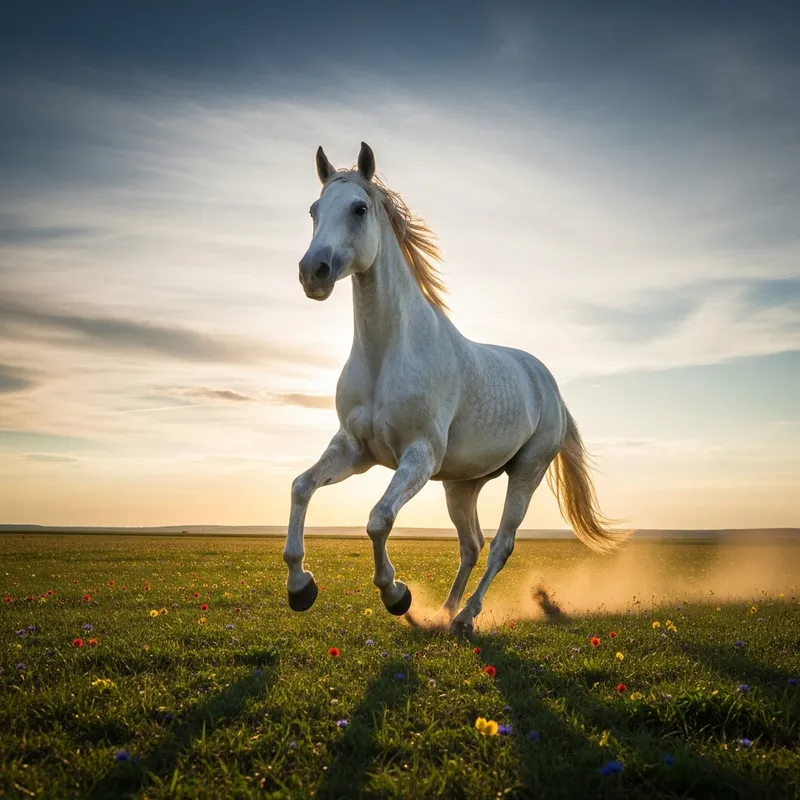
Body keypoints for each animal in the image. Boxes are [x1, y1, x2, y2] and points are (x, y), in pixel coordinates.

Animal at [282, 142, 629, 636]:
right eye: (314, 210)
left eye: (359, 208)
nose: (314, 272)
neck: (387, 353)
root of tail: (548, 385)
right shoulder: (354, 450)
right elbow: (301, 487)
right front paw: (300, 587)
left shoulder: (419, 456)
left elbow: (378, 519)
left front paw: (396, 594)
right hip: (461, 486)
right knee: (471, 544)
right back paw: (445, 613)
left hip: (526, 473)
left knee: (501, 545)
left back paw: (465, 617)